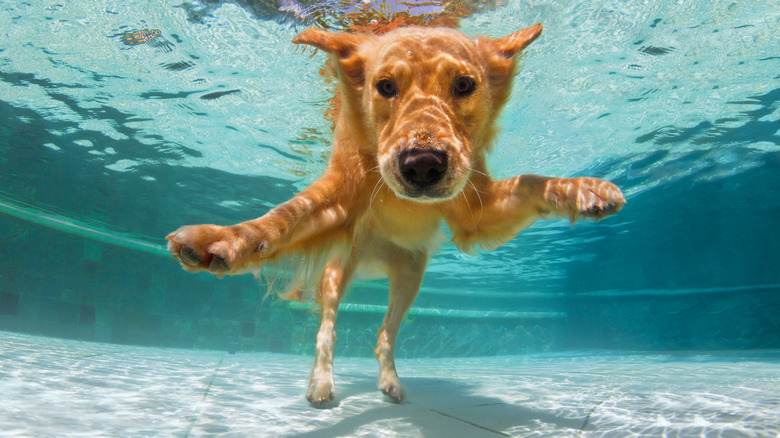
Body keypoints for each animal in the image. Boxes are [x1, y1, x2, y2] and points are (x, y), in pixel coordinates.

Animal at [166, 24, 628, 408]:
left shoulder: (475, 213)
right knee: (327, 329)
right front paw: (221, 239)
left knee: (383, 335)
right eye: (385, 86)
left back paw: (390, 382)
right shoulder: (336, 199)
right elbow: (281, 219)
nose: (422, 165)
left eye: (465, 85)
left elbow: (530, 181)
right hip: (338, 270)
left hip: (410, 276)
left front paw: (582, 189)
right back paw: (321, 383)